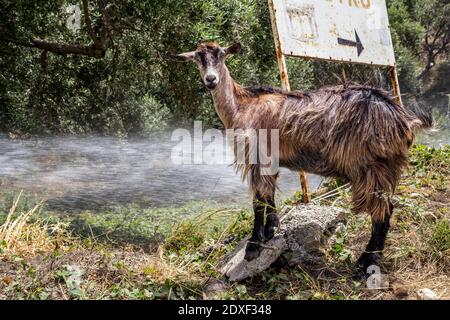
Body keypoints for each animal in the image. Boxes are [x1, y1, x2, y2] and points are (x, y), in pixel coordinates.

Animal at [176, 42, 432, 272]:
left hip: (372, 166)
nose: (211, 80)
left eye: (221, 54)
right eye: (198, 57)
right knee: (387, 207)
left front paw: (254, 245)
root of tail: (403, 120)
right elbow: (269, 196)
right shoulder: (270, 160)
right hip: (385, 167)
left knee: (383, 210)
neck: (242, 105)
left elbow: (259, 201)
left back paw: (366, 261)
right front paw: (271, 230)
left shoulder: (257, 155)